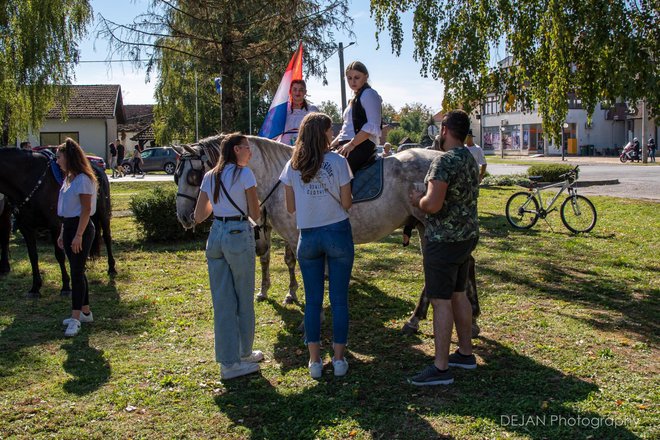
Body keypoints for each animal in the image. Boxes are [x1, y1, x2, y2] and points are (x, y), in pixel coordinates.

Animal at [0, 148, 116, 296]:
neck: (29, 179)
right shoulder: (26, 228)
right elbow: (33, 256)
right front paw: (35, 287)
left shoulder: (55, 225)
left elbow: (59, 255)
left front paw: (65, 286)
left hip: (103, 213)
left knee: (106, 237)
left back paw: (111, 268)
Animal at [173, 134, 476, 334]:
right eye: (175, 175)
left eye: (193, 176)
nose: (184, 217)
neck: (282, 178)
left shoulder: (299, 238)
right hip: (426, 228)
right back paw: (421, 318)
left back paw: (465, 319)